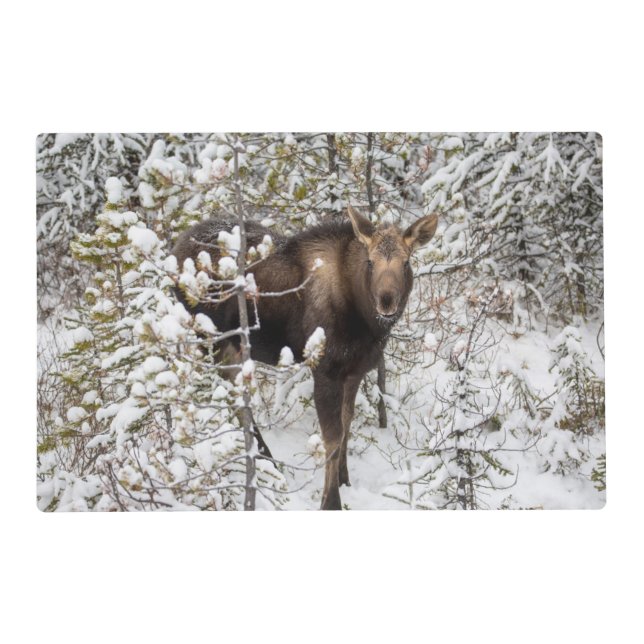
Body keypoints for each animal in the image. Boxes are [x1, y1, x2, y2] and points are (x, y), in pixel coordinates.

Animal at [171, 206, 438, 509]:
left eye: (406, 262)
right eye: (370, 262)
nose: (386, 301)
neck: (366, 324)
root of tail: (174, 249)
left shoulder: (354, 371)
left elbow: (347, 425)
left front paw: (345, 479)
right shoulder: (325, 369)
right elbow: (332, 438)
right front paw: (331, 502)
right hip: (212, 339)